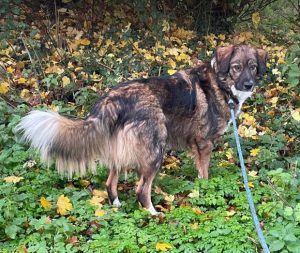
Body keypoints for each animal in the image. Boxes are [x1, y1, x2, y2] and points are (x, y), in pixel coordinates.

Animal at [16, 44, 268, 214]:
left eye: (253, 67)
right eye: (236, 67)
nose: (249, 85)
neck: (220, 82)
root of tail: (112, 99)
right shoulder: (204, 143)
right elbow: (204, 175)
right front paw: (205, 190)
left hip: (121, 150)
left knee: (110, 182)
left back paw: (117, 204)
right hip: (156, 149)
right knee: (141, 190)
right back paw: (154, 214)